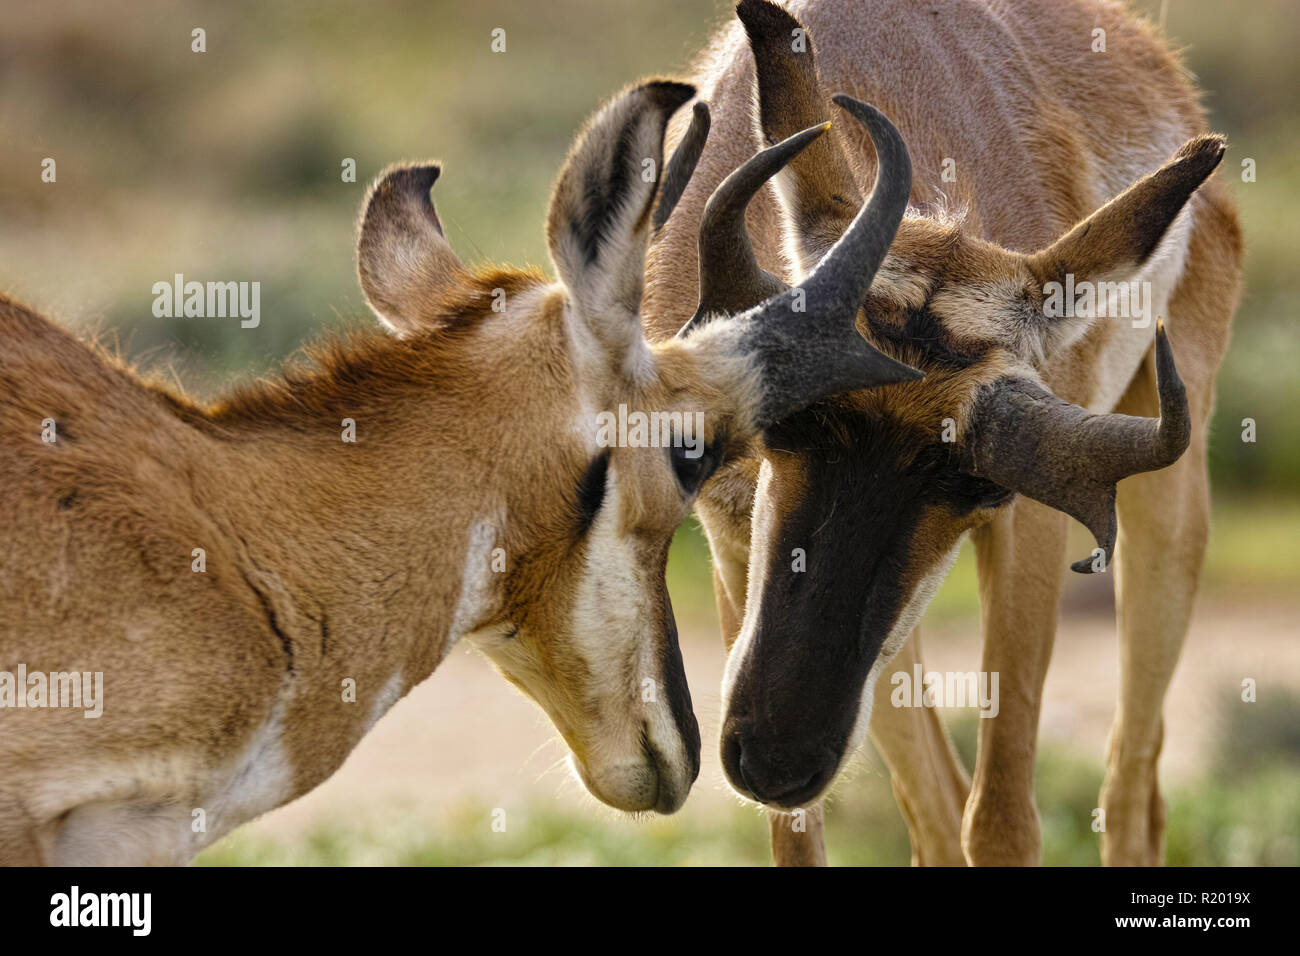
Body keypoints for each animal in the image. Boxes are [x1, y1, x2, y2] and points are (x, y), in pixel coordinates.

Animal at [644, 0, 1242, 868]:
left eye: (980, 482)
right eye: (782, 420)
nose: (779, 757)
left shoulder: (1025, 530)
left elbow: (1002, 820)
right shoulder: (730, 542)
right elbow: (802, 837)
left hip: (1168, 519)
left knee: (1129, 786)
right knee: (935, 805)